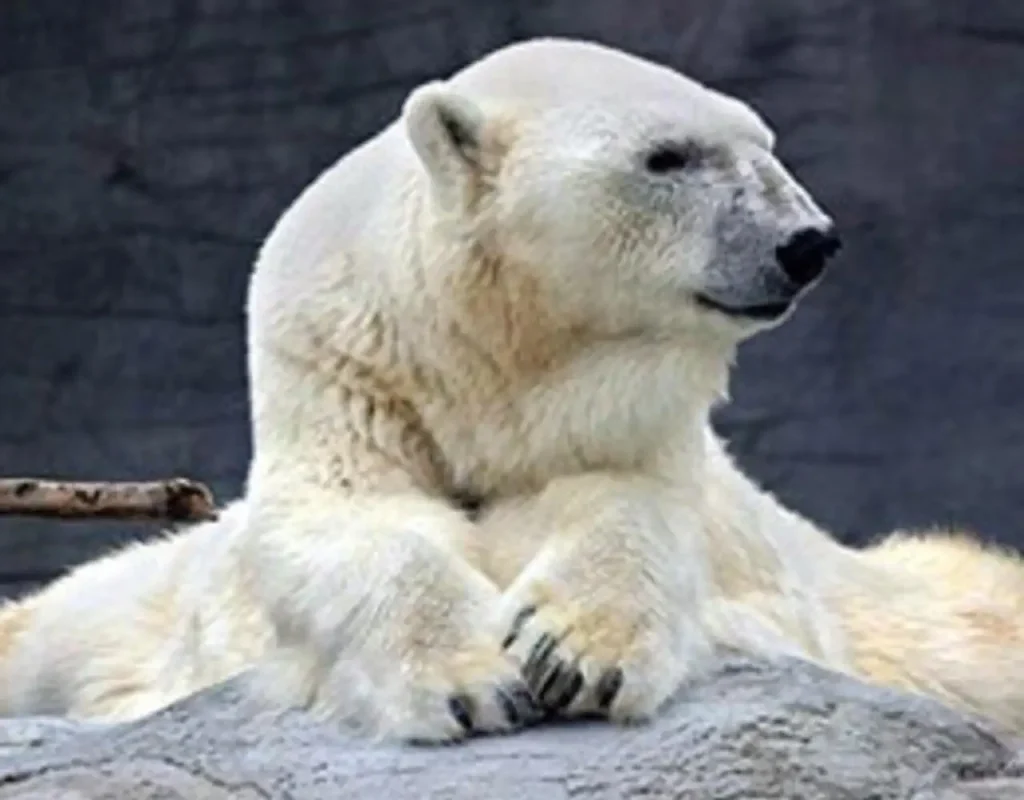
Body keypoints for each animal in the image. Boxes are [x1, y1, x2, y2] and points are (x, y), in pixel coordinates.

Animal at [2, 34, 1024, 741]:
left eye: (765, 144)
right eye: (668, 157)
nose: (806, 241)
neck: (500, 358)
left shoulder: (638, 433)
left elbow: (632, 507)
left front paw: (574, 656)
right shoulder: (342, 379)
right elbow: (351, 524)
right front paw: (468, 682)